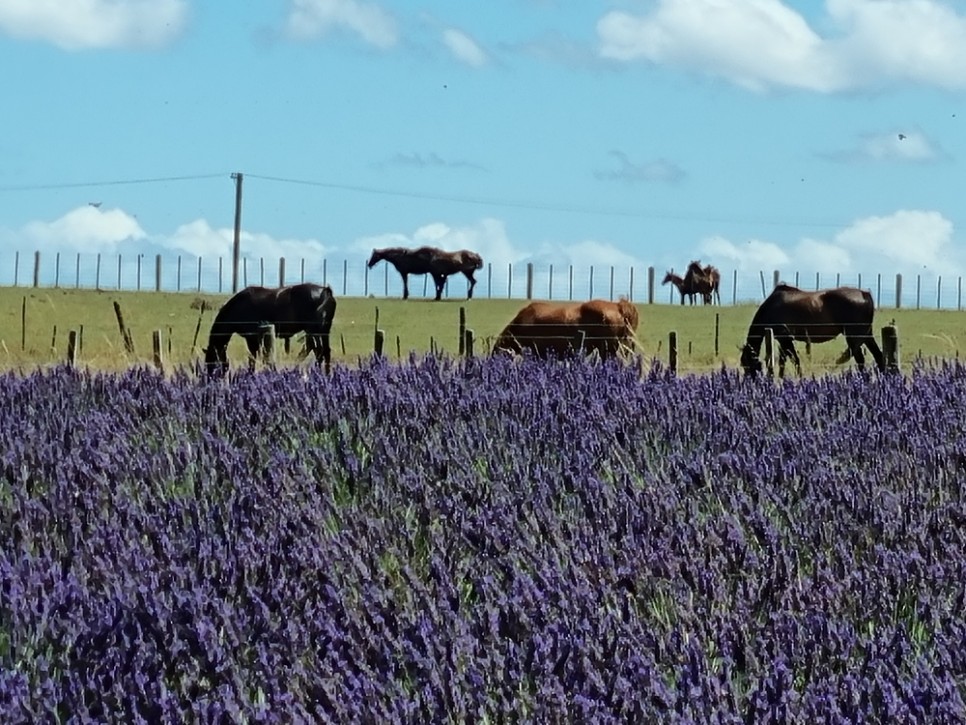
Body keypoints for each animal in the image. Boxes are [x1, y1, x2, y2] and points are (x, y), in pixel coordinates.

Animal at [202, 282, 338, 376]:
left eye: (211, 362)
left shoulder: (252, 338)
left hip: (314, 330)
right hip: (323, 331)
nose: (210, 377)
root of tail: (325, 291)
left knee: (318, 351)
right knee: (324, 351)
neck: (238, 307)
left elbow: (253, 358)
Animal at [744, 282, 888, 376]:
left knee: (860, 360)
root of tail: (865, 294)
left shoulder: (785, 338)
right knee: (878, 356)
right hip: (866, 335)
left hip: (854, 337)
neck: (771, 308)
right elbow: (783, 361)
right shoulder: (782, 340)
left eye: (746, 365)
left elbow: (794, 360)